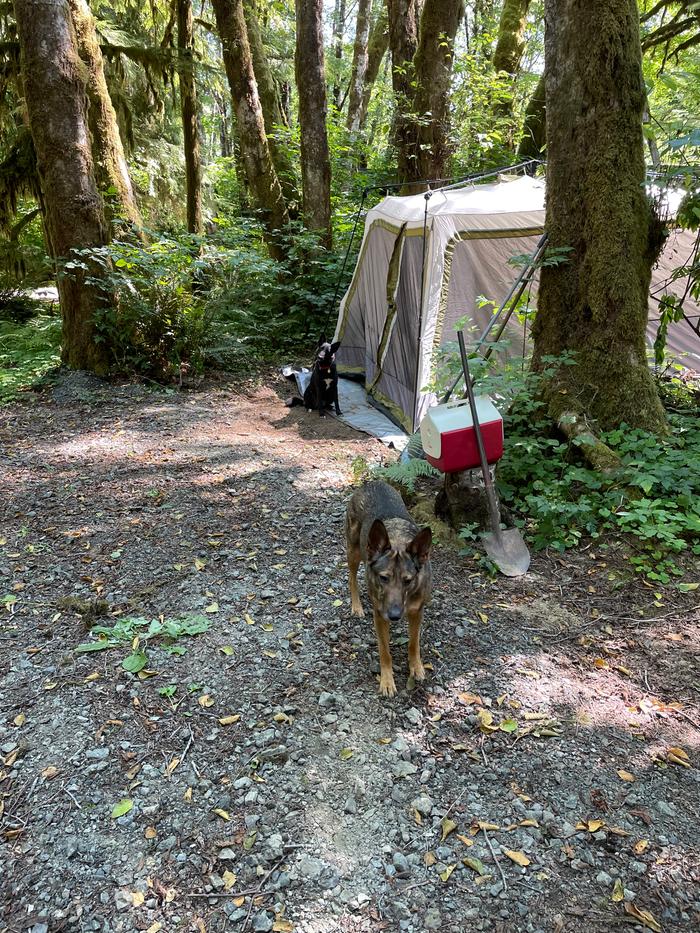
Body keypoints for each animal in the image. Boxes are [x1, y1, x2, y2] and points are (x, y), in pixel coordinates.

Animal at [344, 484, 432, 696]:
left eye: (408, 580)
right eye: (384, 578)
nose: (394, 616)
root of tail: (372, 482)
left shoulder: (417, 612)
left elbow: (413, 643)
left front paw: (416, 667)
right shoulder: (380, 616)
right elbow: (385, 652)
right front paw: (386, 681)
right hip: (354, 550)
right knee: (351, 578)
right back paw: (357, 606)